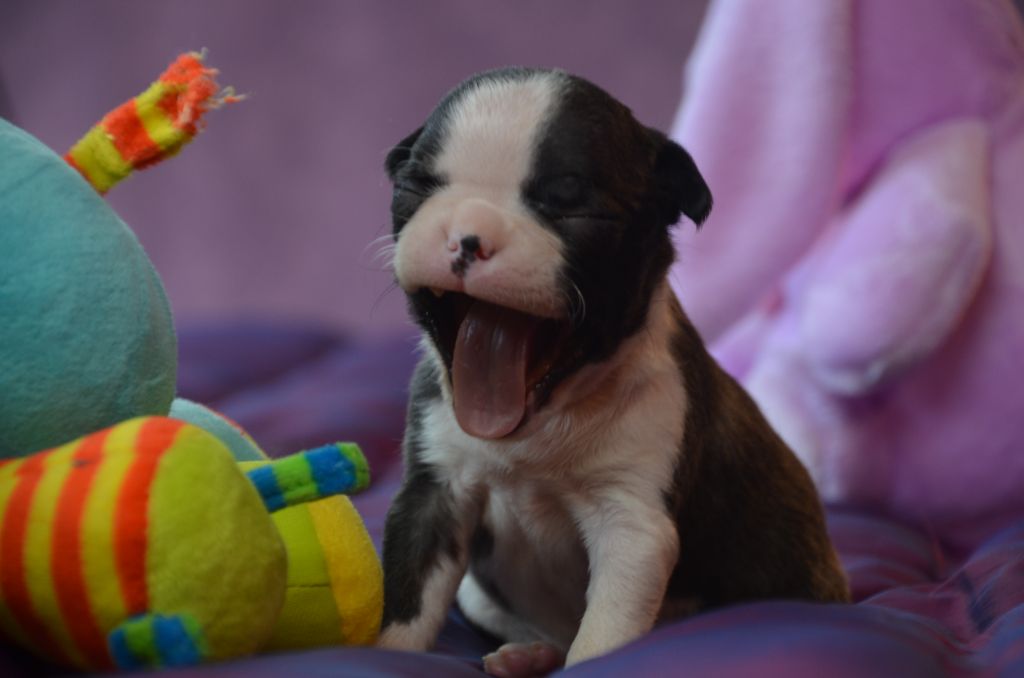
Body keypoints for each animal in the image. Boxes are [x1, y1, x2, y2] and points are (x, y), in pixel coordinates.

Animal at [377, 67, 849, 676]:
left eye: (570, 209)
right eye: (417, 187)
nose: (467, 236)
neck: (545, 418)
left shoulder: (633, 526)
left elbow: (603, 634)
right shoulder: (434, 494)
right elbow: (407, 603)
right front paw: (380, 655)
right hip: (478, 594)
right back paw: (529, 653)